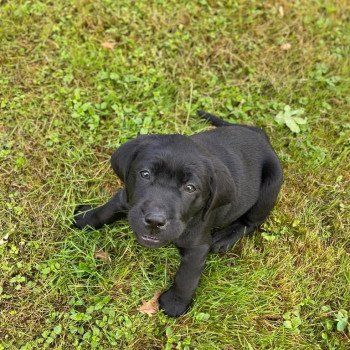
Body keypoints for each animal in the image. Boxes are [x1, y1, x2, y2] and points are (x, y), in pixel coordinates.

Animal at [73, 111, 282, 318]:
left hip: (269, 189)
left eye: (190, 188)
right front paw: (84, 217)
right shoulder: (126, 198)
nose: (155, 221)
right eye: (145, 174)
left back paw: (225, 238)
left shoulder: (197, 246)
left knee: (251, 222)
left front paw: (175, 303)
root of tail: (260, 136)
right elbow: (107, 210)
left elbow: (186, 277)